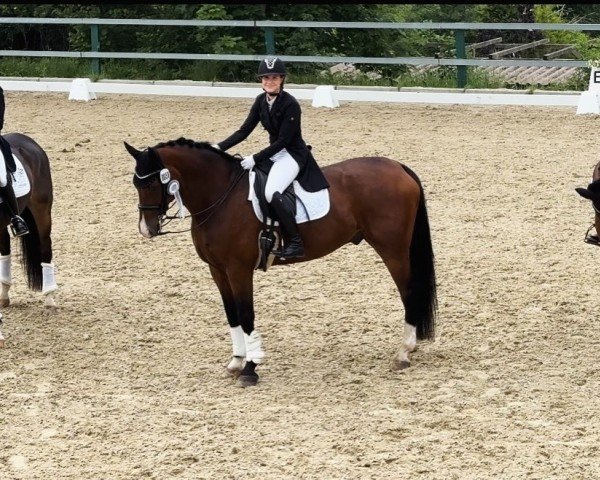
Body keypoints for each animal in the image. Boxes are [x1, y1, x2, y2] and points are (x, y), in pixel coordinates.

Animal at [125, 138, 436, 386]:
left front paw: (251, 369)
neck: (220, 196)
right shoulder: (218, 270)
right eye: (135, 183)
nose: (146, 229)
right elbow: (232, 314)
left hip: (393, 250)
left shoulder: (238, 270)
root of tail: (398, 167)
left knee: (410, 291)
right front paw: (236, 361)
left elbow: (246, 315)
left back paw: (404, 352)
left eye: (151, 182)